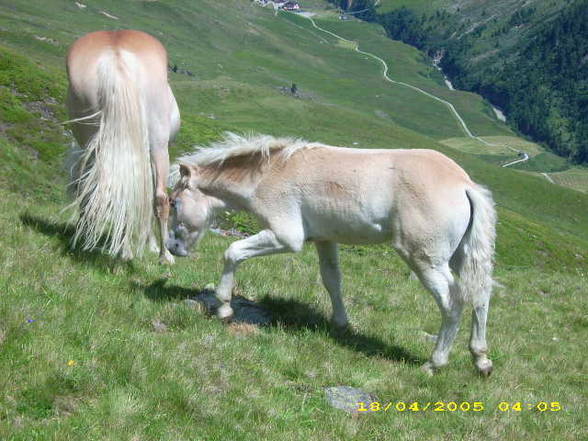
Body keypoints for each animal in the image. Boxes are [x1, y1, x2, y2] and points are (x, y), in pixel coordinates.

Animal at [65, 30, 178, 262]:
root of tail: (115, 55)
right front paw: (151, 245)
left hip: (98, 142)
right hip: (158, 145)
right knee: (159, 198)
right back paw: (164, 255)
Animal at [165, 134, 496, 374]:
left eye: (173, 202)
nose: (172, 248)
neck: (270, 173)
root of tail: (464, 185)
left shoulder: (286, 237)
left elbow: (232, 252)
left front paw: (223, 308)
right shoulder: (325, 239)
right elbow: (332, 280)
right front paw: (341, 324)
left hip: (425, 259)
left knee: (453, 302)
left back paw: (434, 363)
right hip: (461, 257)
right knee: (480, 295)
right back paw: (481, 360)